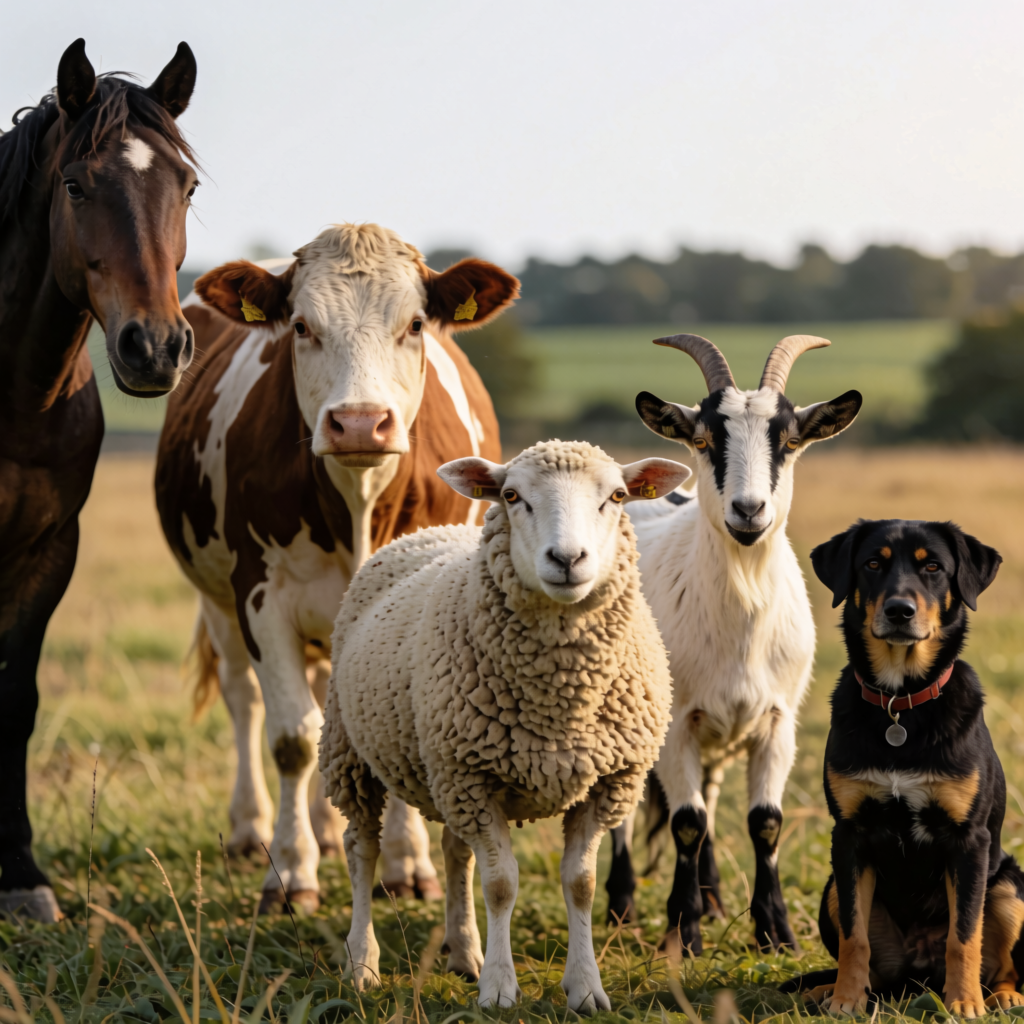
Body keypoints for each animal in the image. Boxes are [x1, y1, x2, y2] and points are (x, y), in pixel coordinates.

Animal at [155, 223, 519, 911]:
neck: (359, 502)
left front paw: (408, 866)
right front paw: (290, 873)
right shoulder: (259, 595)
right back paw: (253, 828)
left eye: (415, 324)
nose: (358, 423)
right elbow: (291, 738)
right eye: (301, 326)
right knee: (245, 699)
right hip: (216, 600)